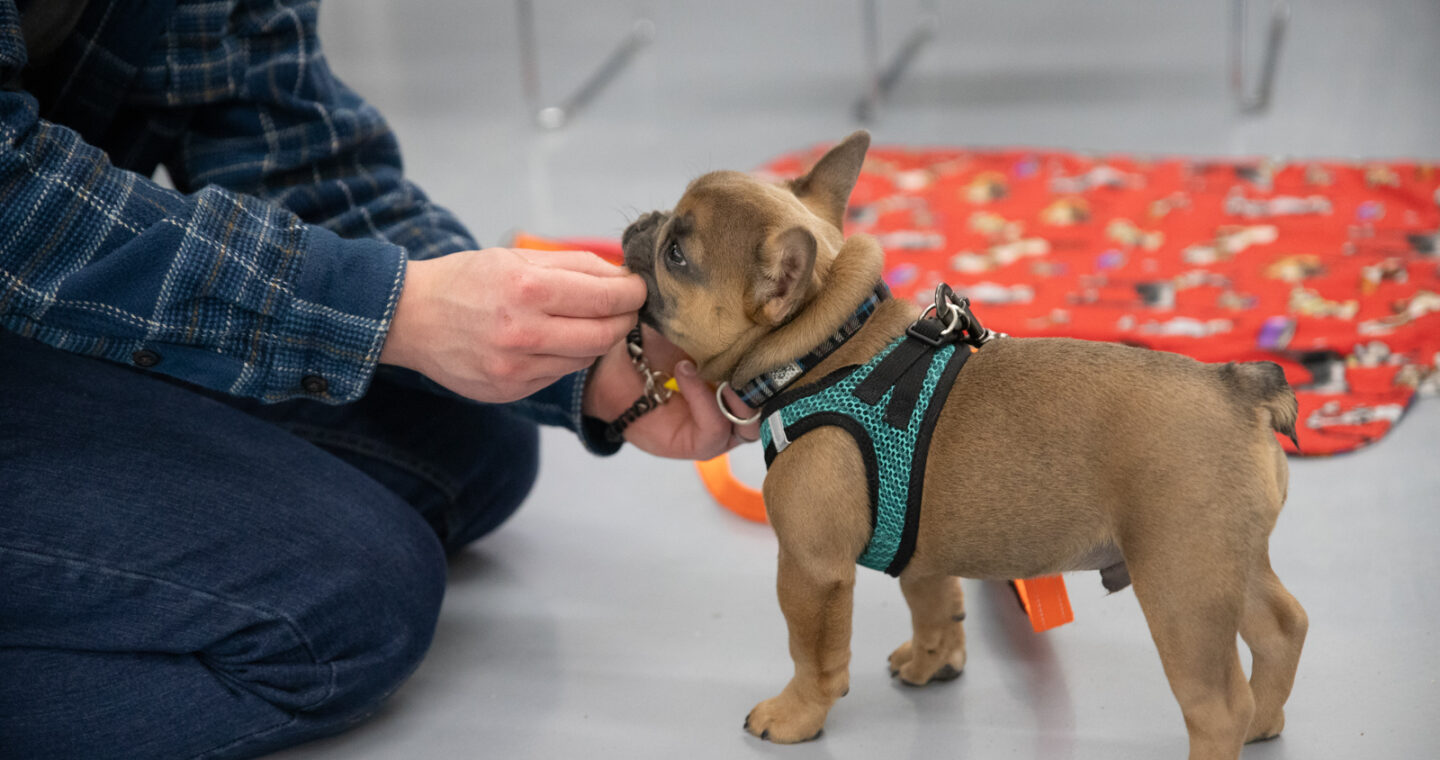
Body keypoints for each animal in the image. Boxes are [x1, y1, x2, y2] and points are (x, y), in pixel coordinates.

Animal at [619, 132, 1307, 760]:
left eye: (677, 254)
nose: (642, 222)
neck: (824, 345)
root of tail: (1240, 388)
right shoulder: (919, 545)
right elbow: (932, 604)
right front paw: (935, 661)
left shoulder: (811, 568)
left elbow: (812, 653)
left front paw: (795, 715)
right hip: (1230, 563)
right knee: (1282, 628)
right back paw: (1265, 721)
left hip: (1181, 586)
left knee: (1216, 705)